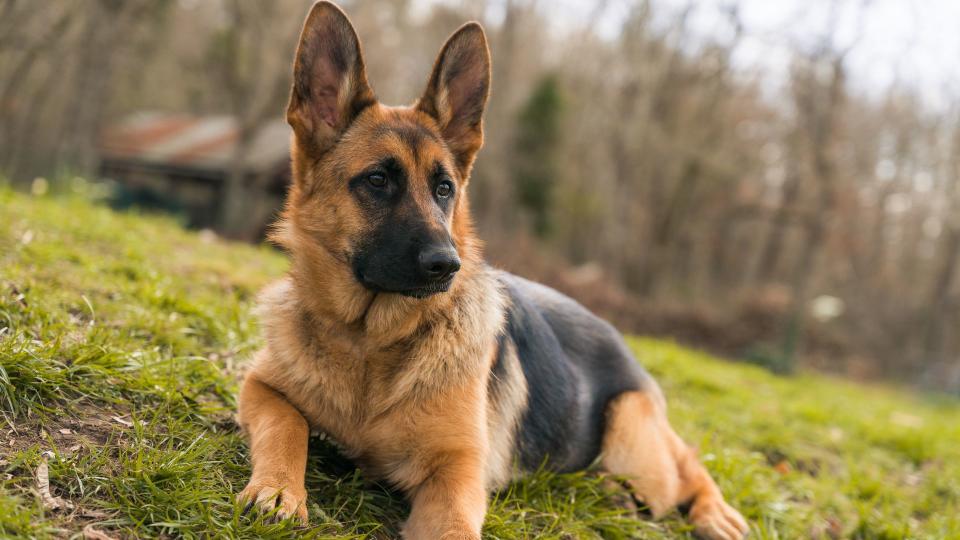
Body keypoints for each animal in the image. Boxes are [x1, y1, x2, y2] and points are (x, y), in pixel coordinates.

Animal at [236, 2, 748, 536]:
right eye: (377, 180)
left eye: (444, 188)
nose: (447, 265)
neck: (368, 341)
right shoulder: (260, 386)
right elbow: (286, 424)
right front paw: (279, 488)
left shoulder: (457, 471)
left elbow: (455, 526)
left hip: (633, 439)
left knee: (686, 465)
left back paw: (714, 512)